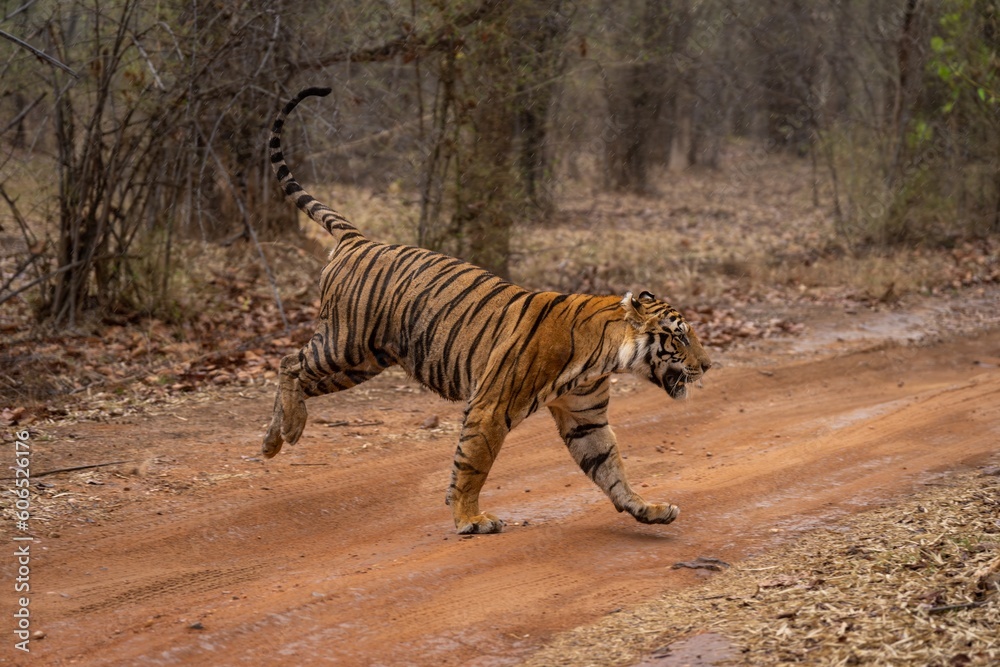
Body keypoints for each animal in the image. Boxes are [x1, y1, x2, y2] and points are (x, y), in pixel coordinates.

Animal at [260, 88, 712, 536]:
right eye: (679, 336)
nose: (708, 365)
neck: (603, 357)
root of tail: (359, 238)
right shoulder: (490, 408)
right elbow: (472, 465)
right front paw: (469, 518)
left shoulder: (586, 419)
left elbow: (611, 469)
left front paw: (648, 509)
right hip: (345, 344)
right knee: (289, 362)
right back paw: (290, 429)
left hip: (361, 363)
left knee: (300, 378)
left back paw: (274, 438)